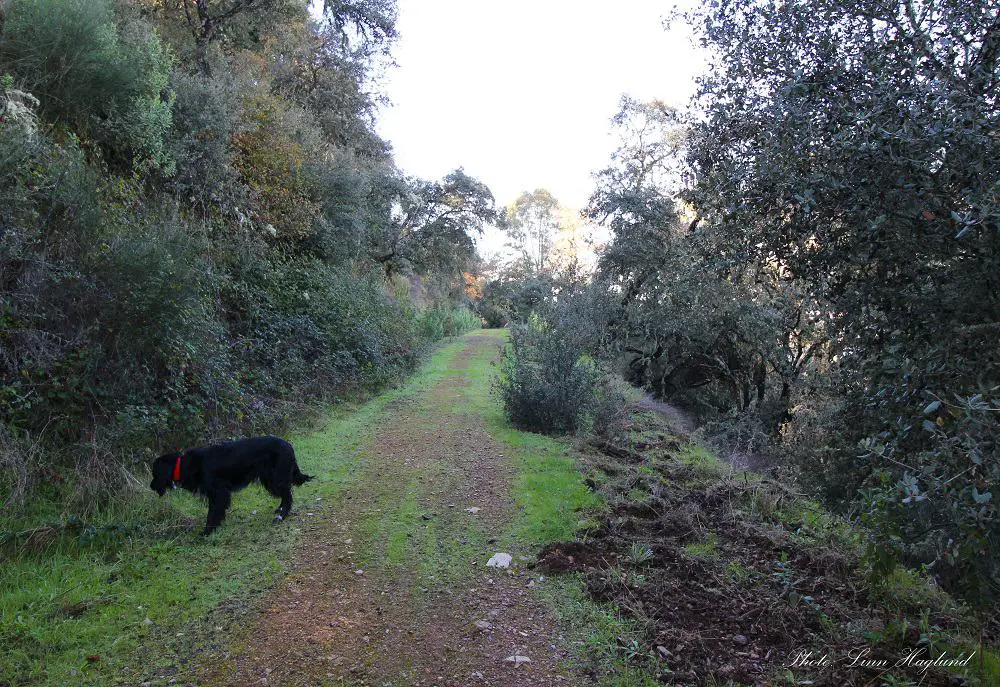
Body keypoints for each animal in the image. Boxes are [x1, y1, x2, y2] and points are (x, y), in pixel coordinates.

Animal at [149, 438, 308, 536]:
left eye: (155, 474)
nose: (151, 486)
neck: (185, 465)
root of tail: (288, 445)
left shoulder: (219, 492)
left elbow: (213, 513)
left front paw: (207, 532)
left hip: (275, 478)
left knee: (288, 495)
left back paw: (281, 516)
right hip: (270, 479)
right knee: (286, 494)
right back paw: (279, 510)